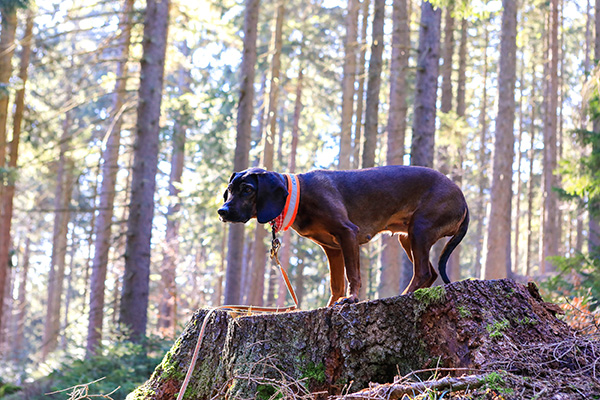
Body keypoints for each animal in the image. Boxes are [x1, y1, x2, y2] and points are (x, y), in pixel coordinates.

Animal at [218, 166, 469, 306]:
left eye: (248, 189)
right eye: (229, 190)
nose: (222, 211)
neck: (301, 195)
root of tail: (462, 198)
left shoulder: (348, 234)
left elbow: (353, 275)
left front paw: (352, 298)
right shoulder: (333, 248)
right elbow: (336, 283)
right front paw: (330, 304)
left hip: (419, 229)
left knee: (424, 271)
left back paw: (404, 295)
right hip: (407, 237)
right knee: (431, 272)